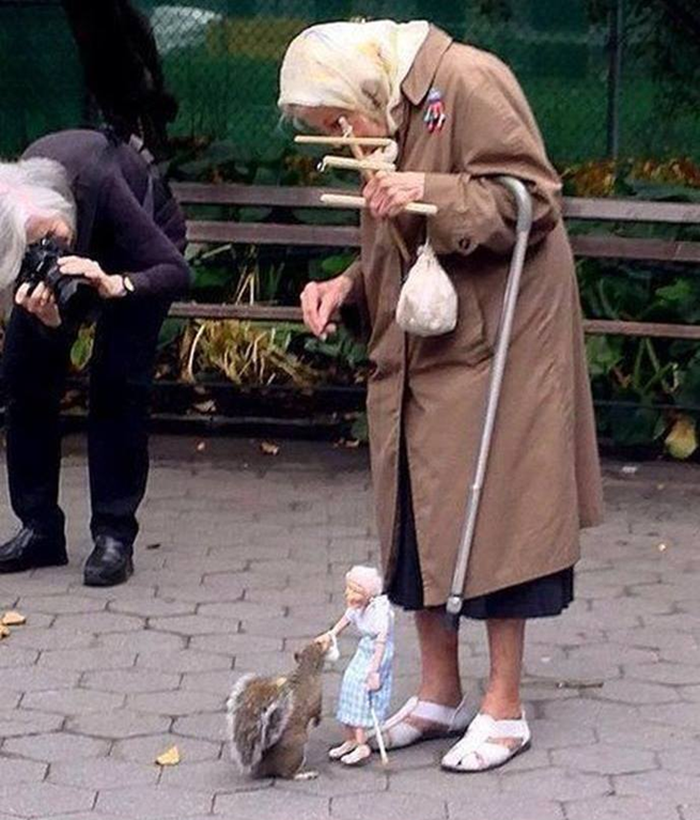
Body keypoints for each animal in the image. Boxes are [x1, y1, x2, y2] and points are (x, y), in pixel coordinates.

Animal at [226, 636, 338, 780]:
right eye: (319, 643)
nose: (328, 638)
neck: (306, 669)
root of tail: (264, 768)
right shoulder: (316, 695)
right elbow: (316, 710)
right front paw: (318, 720)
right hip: (297, 747)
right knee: (287, 774)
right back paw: (305, 774)